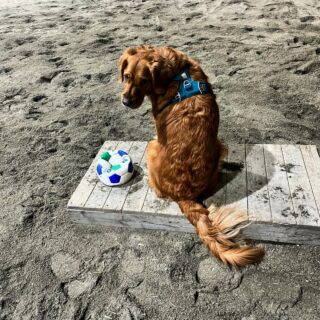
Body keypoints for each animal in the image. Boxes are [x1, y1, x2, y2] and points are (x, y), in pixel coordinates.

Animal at [119, 47, 264, 268]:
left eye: (144, 81)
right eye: (126, 76)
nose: (125, 102)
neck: (177, 72)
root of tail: (183, 194)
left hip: (152, 146)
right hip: (219, 146)